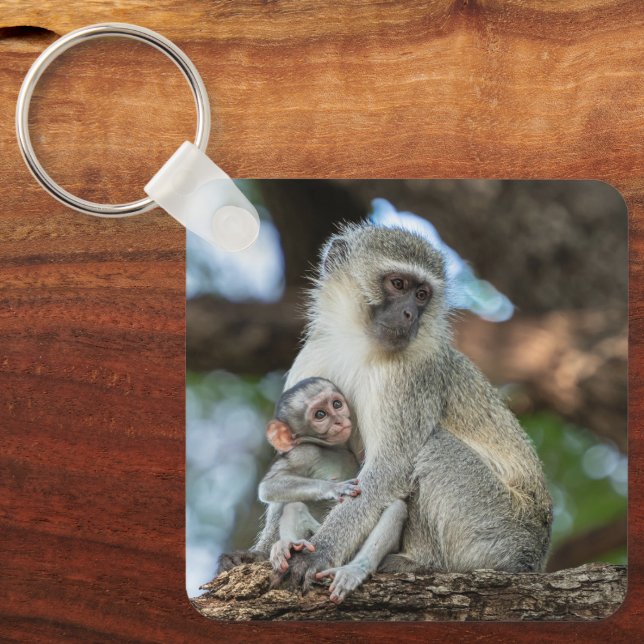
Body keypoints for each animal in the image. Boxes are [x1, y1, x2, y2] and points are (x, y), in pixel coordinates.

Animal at [271, 222, 553, 591]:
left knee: (434, 448)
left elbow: (390, 468)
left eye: (422, 295)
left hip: (497, 527)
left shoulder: (414, 375)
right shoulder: (312, 358)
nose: (408, 314)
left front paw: (319, 554)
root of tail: (534, 556)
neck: (359, 343)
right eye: (398, 284)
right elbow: (291, 459)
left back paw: (419, 562)